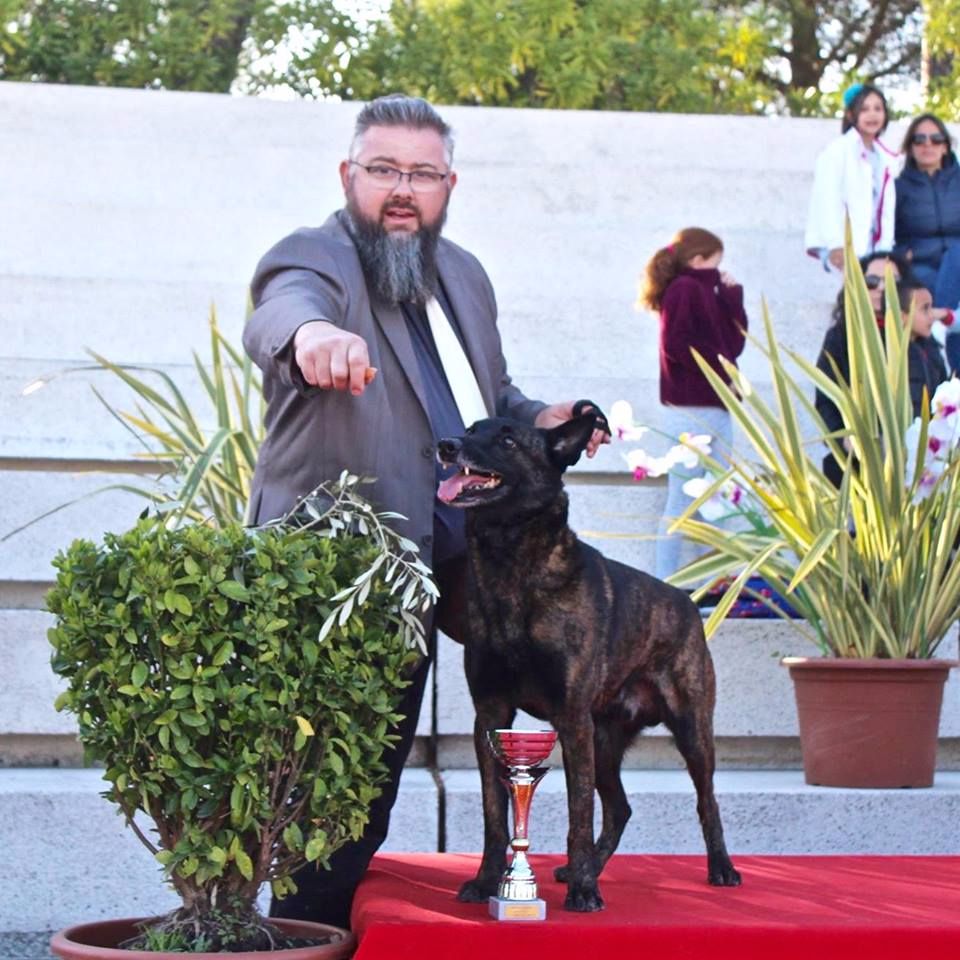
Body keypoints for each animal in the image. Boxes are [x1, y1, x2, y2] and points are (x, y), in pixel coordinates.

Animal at [436, 408, 744, 912]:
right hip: (604, 742)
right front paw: (486, 882)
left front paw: (582, 891)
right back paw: (589, 869)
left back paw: (721, 868)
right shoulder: (492, 717)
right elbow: (494, 815)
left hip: (690, 730)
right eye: (470, 429)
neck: (512, 565)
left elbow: (577, 814)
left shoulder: (571, 720)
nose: (446, 445)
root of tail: (685, 599)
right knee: (620, 808)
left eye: (507, 440)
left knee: (707, 802)